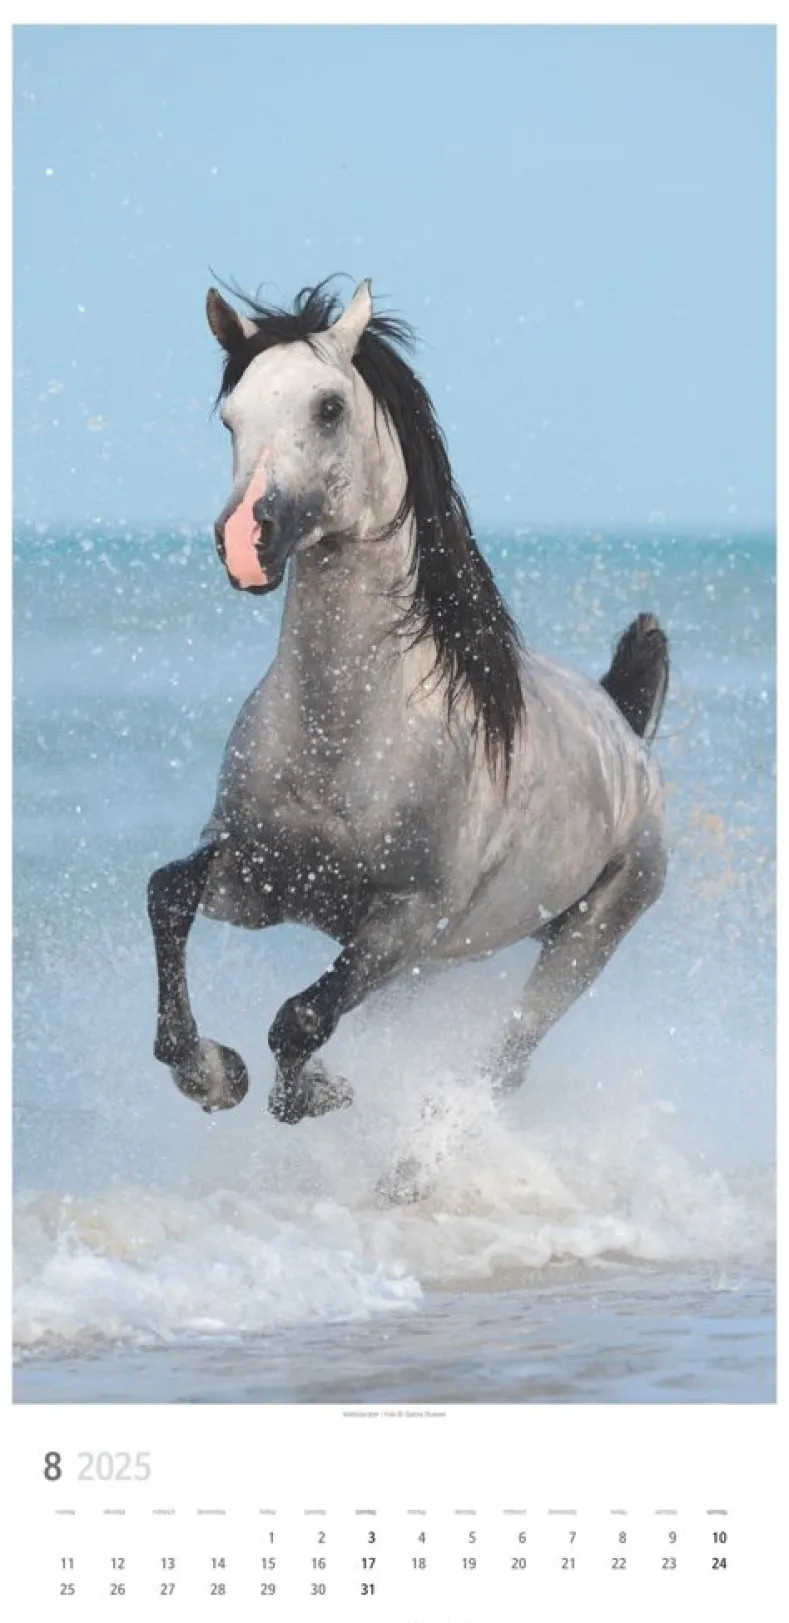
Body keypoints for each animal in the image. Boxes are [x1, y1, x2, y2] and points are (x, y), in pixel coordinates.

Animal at [147, 278, 669, 1145]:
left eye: (328, 407)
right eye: (231, 416)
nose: (245, 542)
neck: (348, 733)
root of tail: (628, 729)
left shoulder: (403, 921)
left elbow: (299, 1019)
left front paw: (319, 1092)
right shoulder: (261, 881)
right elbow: (169, 892)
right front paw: (210, 1073)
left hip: (584, 936)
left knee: (507, 1059)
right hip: (433, 968)